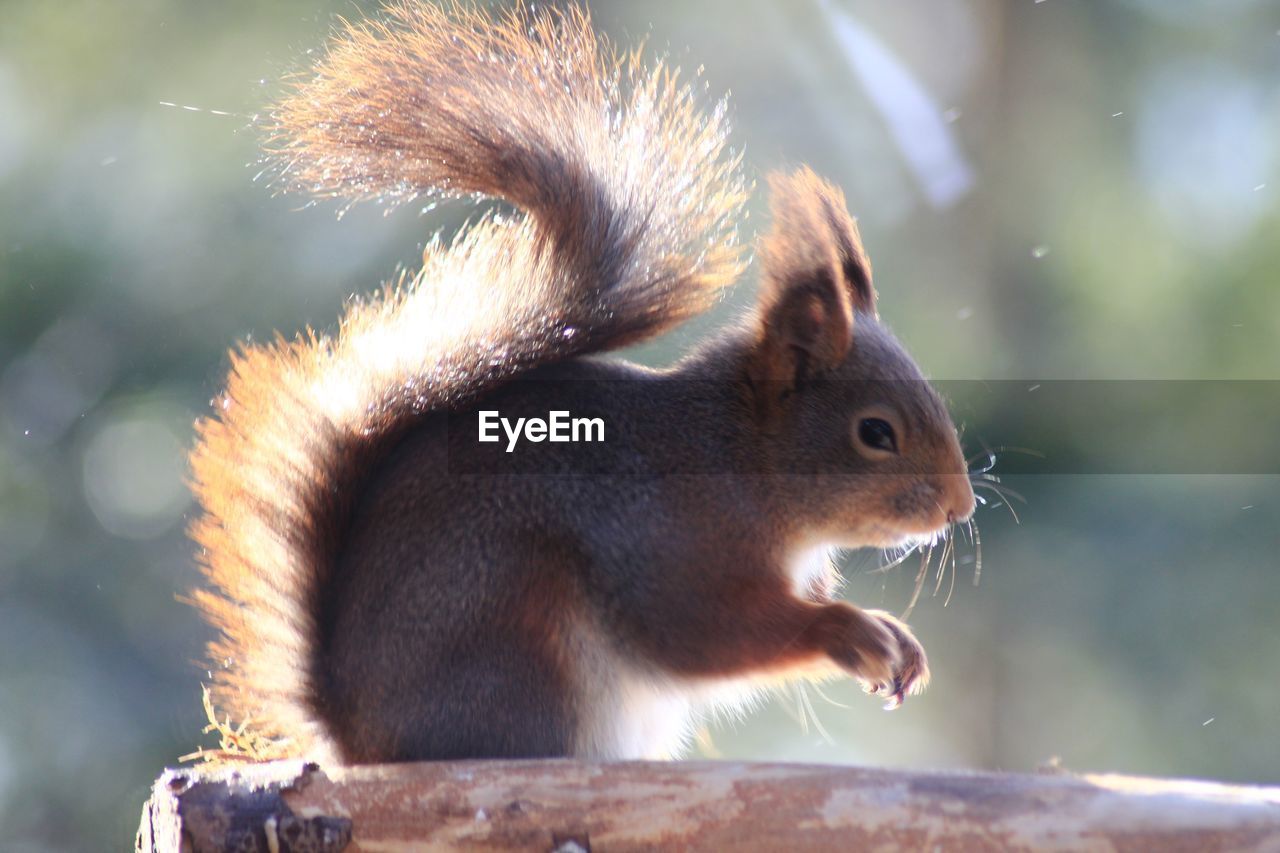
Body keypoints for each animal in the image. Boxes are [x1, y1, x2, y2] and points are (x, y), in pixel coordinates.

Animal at [186, 1, 967, 763]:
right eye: (875, 432)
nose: (958, 509)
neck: (743, 460)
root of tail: (353, 737)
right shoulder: (669, 543)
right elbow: (702, 632)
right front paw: (852, 631)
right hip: (520, 639)